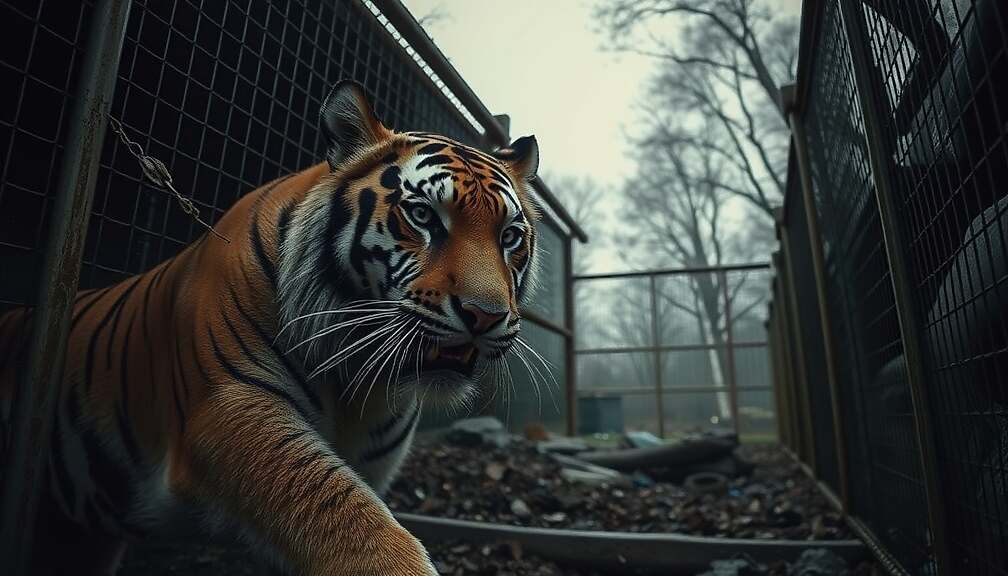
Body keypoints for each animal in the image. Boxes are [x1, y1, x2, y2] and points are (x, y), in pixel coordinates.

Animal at [0, 80, 541, 575]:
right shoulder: (228, 406)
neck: (360, 384)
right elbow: (346, 518)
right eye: (424, 215)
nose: (485, 315)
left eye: (510, 237)